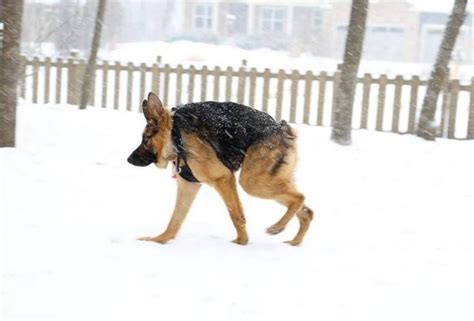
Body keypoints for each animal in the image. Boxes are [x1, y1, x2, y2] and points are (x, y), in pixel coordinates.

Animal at [128, 92, 312, 245]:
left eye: (145, 139)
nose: (129, 159)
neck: (175, 135)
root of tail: (282, 127)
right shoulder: (188, 186)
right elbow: (175, 220)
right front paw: (159, 240)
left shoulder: (223, 179)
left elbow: (236, 214)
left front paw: (241, 243)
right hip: (268, 181)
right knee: (307, 211)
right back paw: (294, 242)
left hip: (252, 183)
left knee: (299, 198)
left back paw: (277, 227)